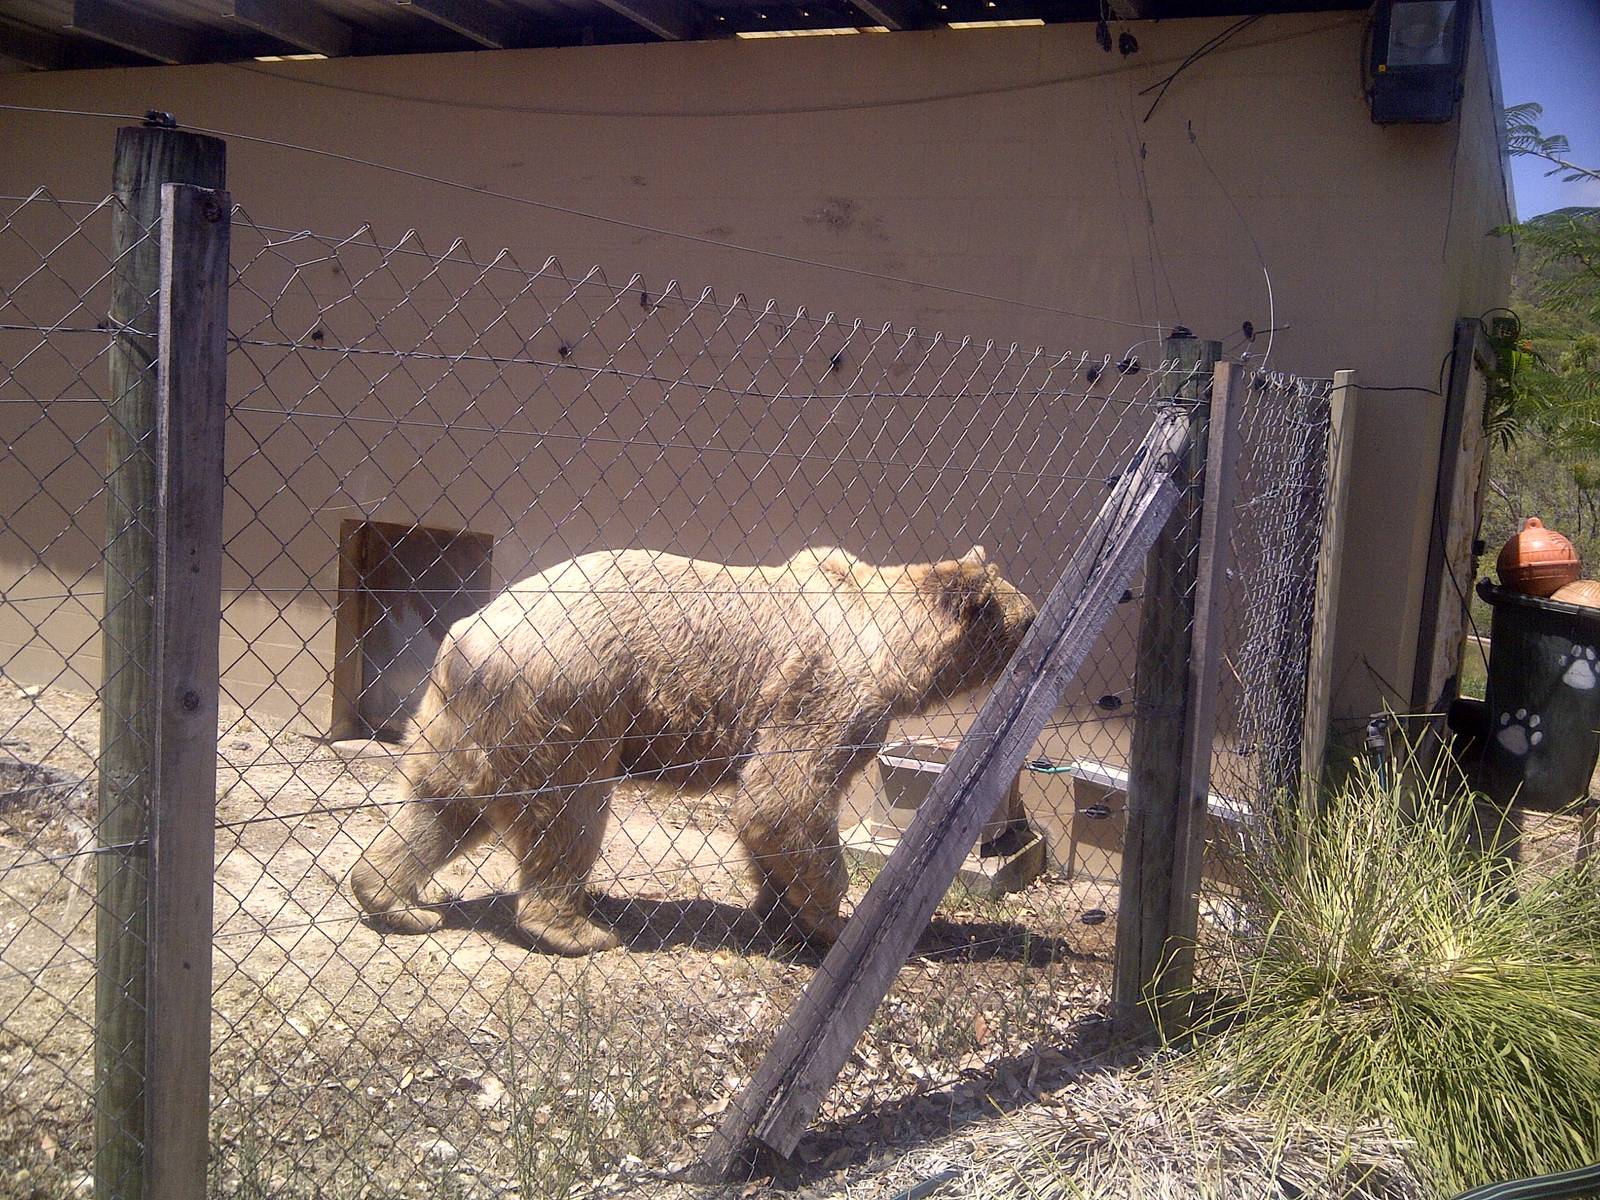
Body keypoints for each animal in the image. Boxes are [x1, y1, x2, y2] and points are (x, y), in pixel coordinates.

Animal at [349, 544, 1036, 955]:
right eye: (1026, 617)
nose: (1036, 621)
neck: (893, 644)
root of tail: (469, 631)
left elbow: (774, 810)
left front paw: (776, 910)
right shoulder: (826, 687)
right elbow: (786, 795)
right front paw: (828, 919)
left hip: (465, 715)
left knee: (440, 802)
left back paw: (394, 898)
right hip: (571, 699)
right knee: (569, 811)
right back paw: (579, 929)